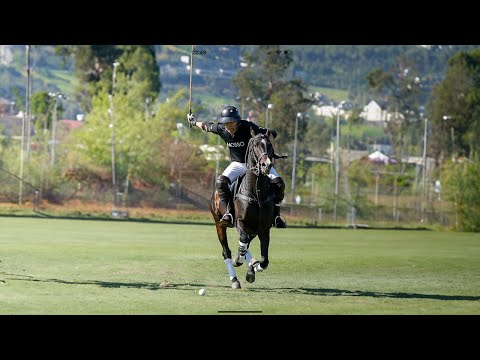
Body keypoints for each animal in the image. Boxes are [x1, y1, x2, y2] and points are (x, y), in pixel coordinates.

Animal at [210, 131, 284, 288]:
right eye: (255, 145)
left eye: (270, 145)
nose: (266, 165)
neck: (256, 191)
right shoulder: (241, 222)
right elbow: (242, 244)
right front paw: (238, 261)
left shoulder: (264, 228)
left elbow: (264, 260)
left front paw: (254, 267)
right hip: (219, 223)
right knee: (227, 251)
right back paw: (234, 279)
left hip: (253, 228)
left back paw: (251, 266)